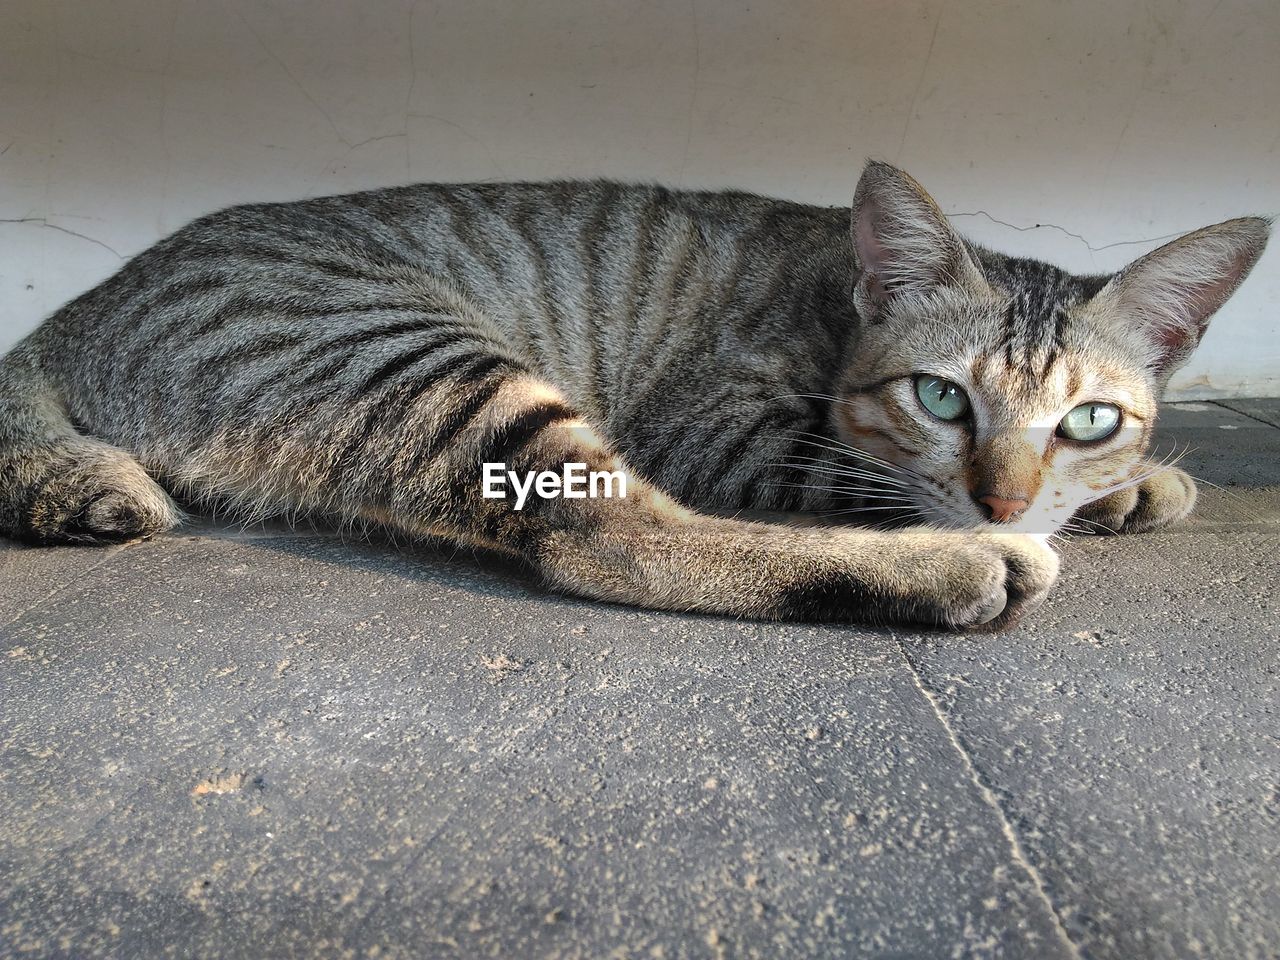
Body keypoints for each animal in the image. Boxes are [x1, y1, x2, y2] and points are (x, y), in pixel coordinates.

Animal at [0, 161, 1259, 632]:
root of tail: (86, 307)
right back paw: (945, 569)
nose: (1002, 502)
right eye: (942, 401)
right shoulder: (716, 424)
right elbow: (857, 469)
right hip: (421, 358)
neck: (833, 304)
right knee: (606, 539)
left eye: (1087, 417)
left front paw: (1126, 488)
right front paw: (988, 518)